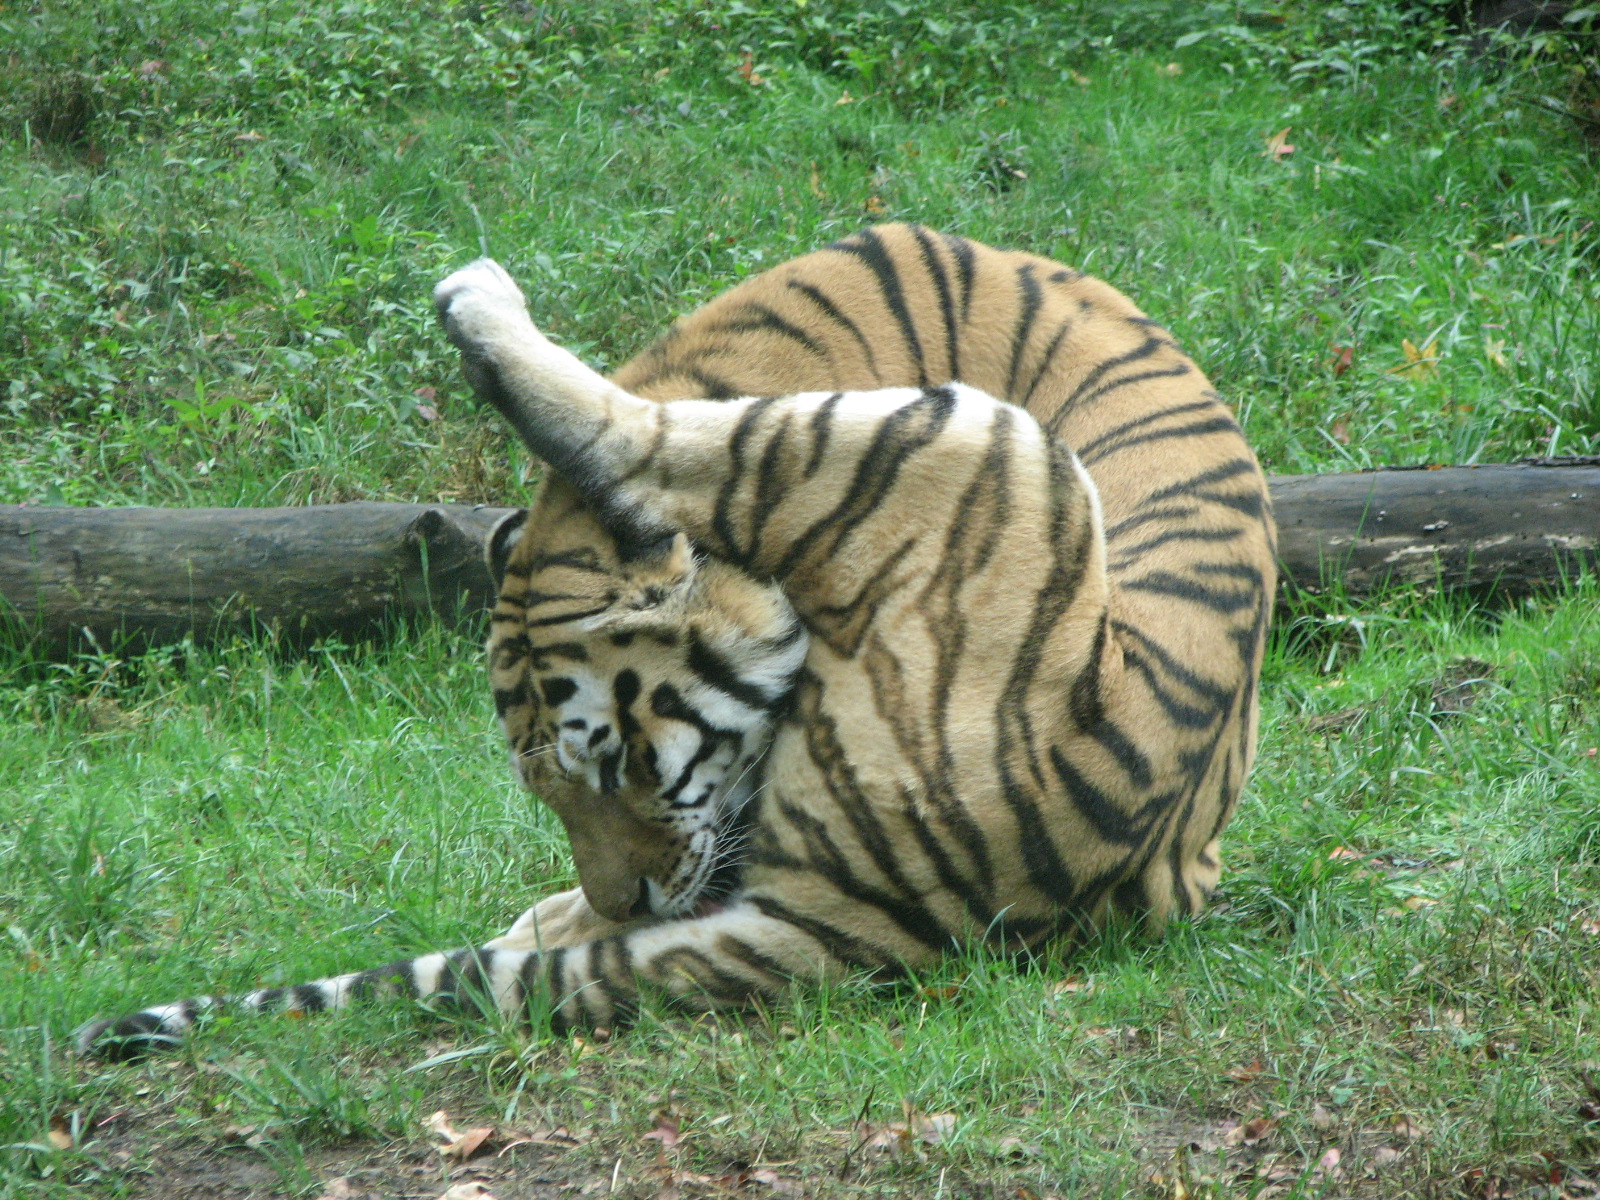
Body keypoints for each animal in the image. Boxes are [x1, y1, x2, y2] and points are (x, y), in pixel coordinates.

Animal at [78, 224, 1275, 1057]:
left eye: (621, 763)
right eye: (545, 788)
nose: (626, 902)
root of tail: (912, 914)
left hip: (955, 440)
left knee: (668, 437)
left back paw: (478, 300)